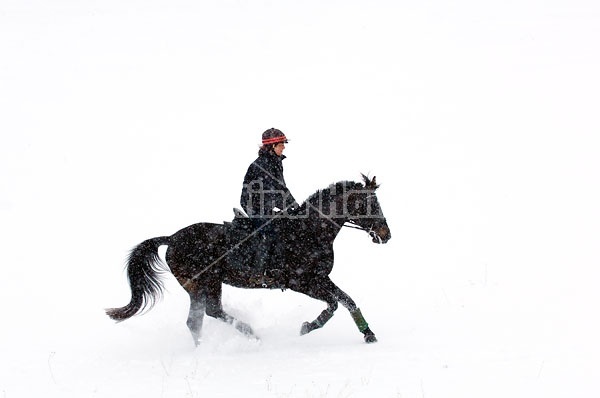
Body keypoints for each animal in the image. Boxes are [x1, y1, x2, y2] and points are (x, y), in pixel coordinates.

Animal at [105, 174, 392, 346]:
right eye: (370, 205)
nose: (386, 234)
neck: (308, 231)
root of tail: (172, 238)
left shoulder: (320, 278)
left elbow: (347, 300)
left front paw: (369, 335)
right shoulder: (301, 282)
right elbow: (332, 304)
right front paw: (307, 327)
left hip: (207, 284)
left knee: (206, 315)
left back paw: (243, 337)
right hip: (201, 283)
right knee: (200, 318)